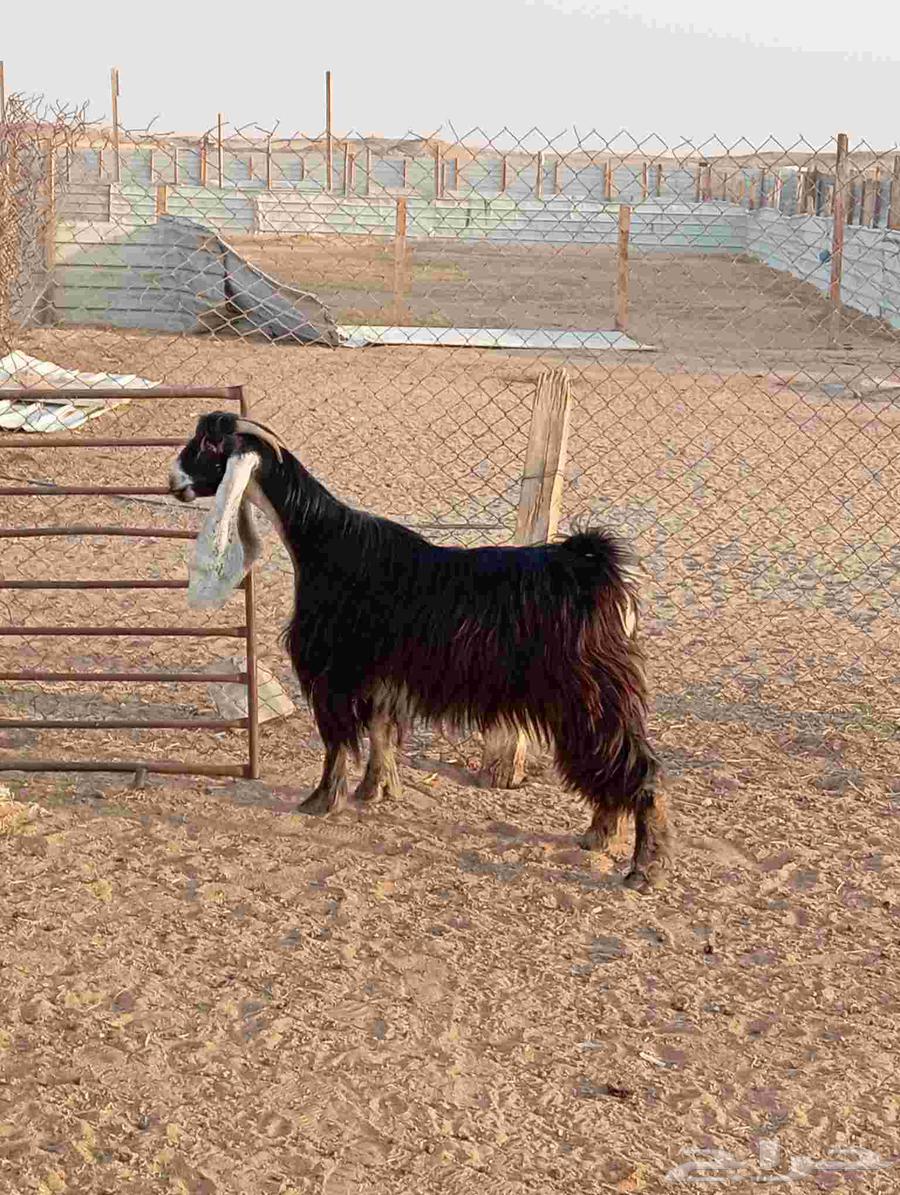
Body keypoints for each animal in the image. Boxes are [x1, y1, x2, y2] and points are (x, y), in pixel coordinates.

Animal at [169, 412, 672, 890]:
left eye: (210, 445)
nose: (173, 481)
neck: (324, 542)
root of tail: (595, 570)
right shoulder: (379, 676)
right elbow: (381, 732)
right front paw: (374, 790)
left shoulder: (333, 672)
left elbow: (337, 741)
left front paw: (321, 800)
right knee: (612, 761)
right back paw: (599, 834)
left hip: (591, 694)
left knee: (639, 766)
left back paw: (643, 867)